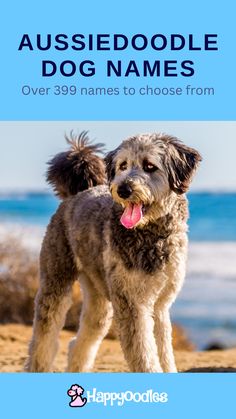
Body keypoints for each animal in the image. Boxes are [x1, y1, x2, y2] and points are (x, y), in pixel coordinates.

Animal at [24, 132, 201, 374]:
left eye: (149, 166)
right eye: (123, 165)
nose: (123, 190)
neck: (151, 235)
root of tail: (76, 193)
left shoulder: (160, 305)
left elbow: (164, 351)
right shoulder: (132, 304)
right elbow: (144, 355)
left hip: (99, 297)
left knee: (82, 340)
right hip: (56, 280)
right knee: (44, 335)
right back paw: (38, 365)